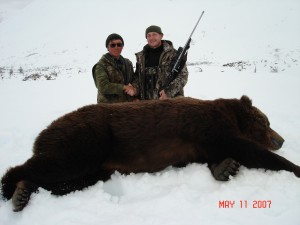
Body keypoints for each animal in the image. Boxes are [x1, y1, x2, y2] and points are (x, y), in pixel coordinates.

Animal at [1, 95, 300, 211]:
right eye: (266, 122)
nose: (281, 139)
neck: (230, 114)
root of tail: (41, 134)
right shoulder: (209, 126)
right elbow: (247, 149)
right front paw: (295, 167)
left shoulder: (200, 144)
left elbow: (218, 157)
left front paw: (226, 167)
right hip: (88, 138)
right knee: (56, 164)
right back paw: (12, 188)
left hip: (99, 165)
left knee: (70, 180)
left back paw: (24, 191)